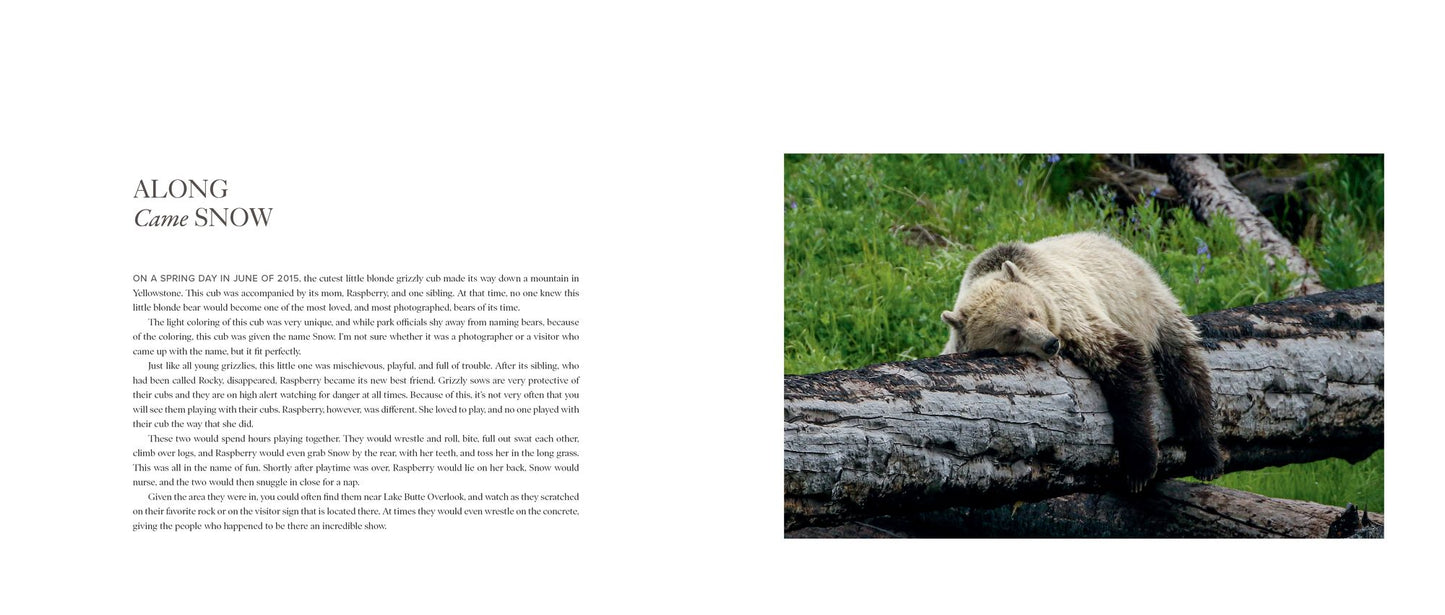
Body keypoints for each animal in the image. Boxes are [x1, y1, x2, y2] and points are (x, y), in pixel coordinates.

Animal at [939, 231, 1223, 492]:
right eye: (1012, 332)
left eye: (1031, 312)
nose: (1050, 343)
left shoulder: (1069, 308)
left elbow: (1122, 361)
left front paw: (1139, 467)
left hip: (1145, 304)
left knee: (1184, 369)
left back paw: (1206, 457)